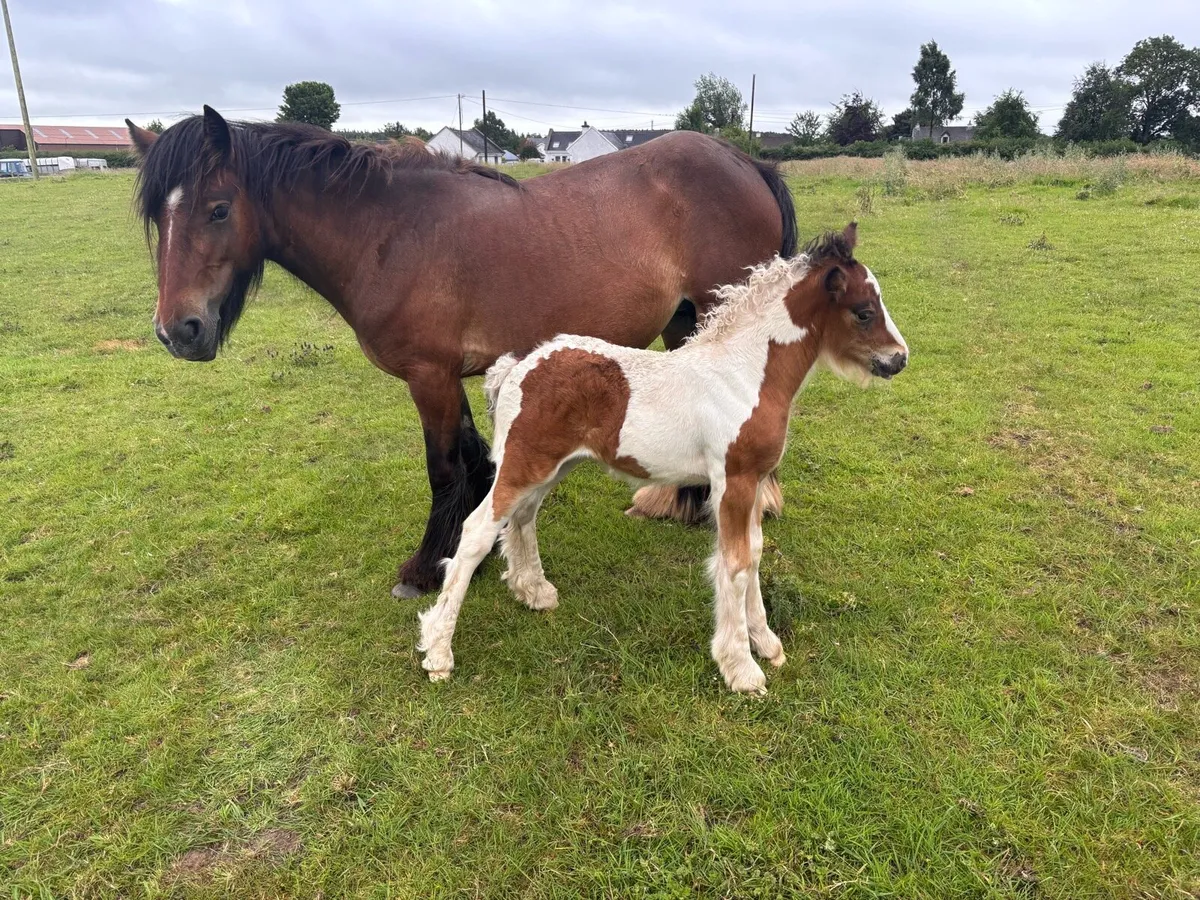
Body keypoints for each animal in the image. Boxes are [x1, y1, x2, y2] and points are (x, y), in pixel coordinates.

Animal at [125, 107, 797, 598]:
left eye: (218, 209)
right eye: (159, 216)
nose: (178, 331)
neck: (387, 233)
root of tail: (744, 160)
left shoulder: (431, 377)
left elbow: (445, 467)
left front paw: (425, 569)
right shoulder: (451, 378)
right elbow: (474, 461)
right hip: (687, 321)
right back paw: (679, 505)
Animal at [416, 223, 909, 694]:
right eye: (864, 312)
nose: (899, 359)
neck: (746, 374)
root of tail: (517, 367)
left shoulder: (752, 483)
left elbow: (754, 555)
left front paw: (766, 643)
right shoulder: (733, 483)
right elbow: (735, 566)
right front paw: (741, 669)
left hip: (550, 466)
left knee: (522, 517)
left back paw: (533, 591)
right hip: (523, 464)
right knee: (477, 532)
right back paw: (438, 653)